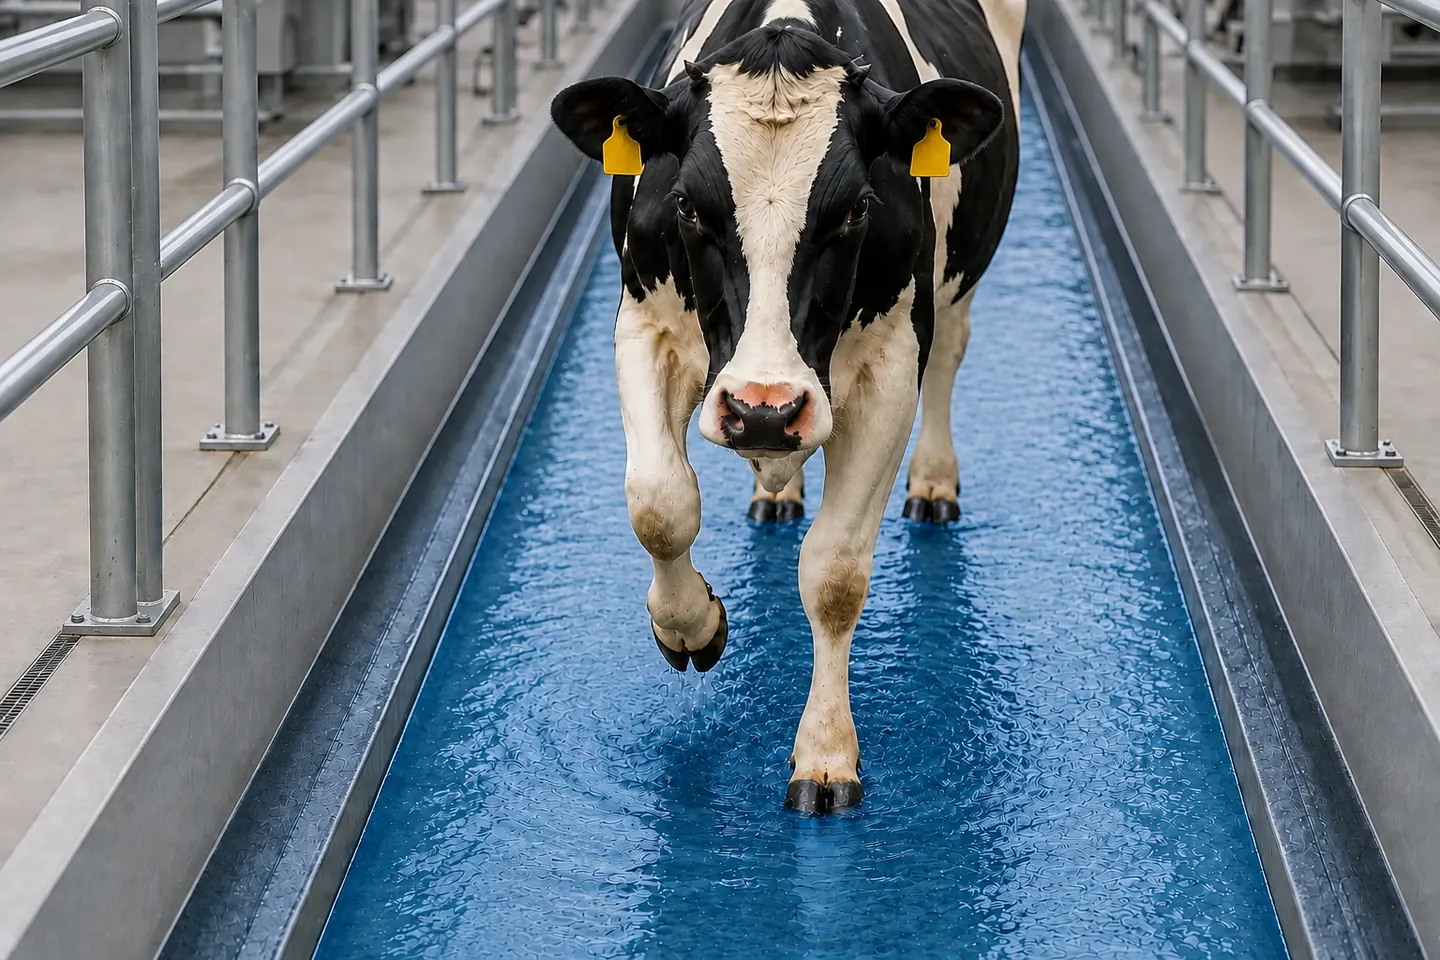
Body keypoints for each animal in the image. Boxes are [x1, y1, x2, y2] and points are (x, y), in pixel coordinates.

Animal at [550, 0, 1022, 813]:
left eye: (857, 209)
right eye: (687, 205)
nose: (765, 410)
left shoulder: (892, 363)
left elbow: (834, 573)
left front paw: (826, 756)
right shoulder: (643, 322)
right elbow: (658, 502)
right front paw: (691, 628)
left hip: (956, 282)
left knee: (953, 354)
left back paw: (933, 482)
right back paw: (778, 493)